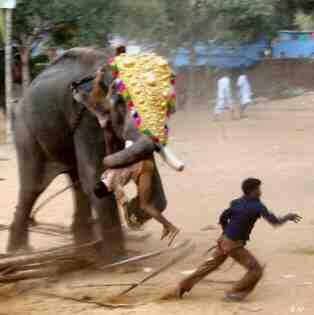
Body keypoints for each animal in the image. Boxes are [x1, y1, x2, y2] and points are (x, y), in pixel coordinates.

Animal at [8, 47, 183, 262]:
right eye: (120, 102)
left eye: (168, 105)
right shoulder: (87, 119)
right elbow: (94, 174)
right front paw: (119, 261)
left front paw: (136, 212)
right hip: (26, 130)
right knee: (33, 186)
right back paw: (19, 252)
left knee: (77, 183)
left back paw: (83, 247)